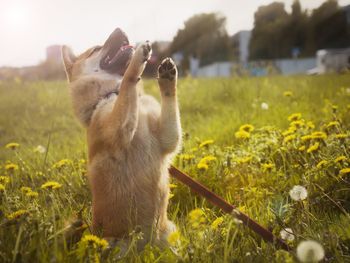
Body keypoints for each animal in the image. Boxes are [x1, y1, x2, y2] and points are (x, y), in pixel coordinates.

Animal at [61, 28, 182, 250]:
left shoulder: (167, 136)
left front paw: (167, 78)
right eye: (96, 49)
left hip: (169, 234)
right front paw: (138, 58)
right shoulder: (118, 129)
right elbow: (127, 80)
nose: (120, 29)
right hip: (117, 245)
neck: (110, 94)